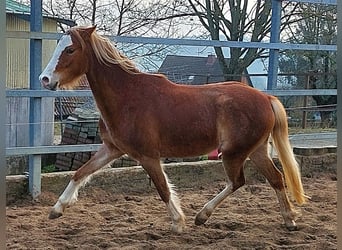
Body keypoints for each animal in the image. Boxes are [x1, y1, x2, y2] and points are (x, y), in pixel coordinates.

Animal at [39, 26, 308, 233]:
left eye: (70, 49)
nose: (45, 80)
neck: (128, 97)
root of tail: (266, 98)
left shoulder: (148, 156)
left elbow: (163, 188)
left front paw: (178, 223)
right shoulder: (112, 149)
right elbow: (80, 173)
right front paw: (57, 209)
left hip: (234, 153)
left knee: (239, 181)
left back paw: (202, 215)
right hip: (256, 150)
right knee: (275, 178)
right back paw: (289, 220)